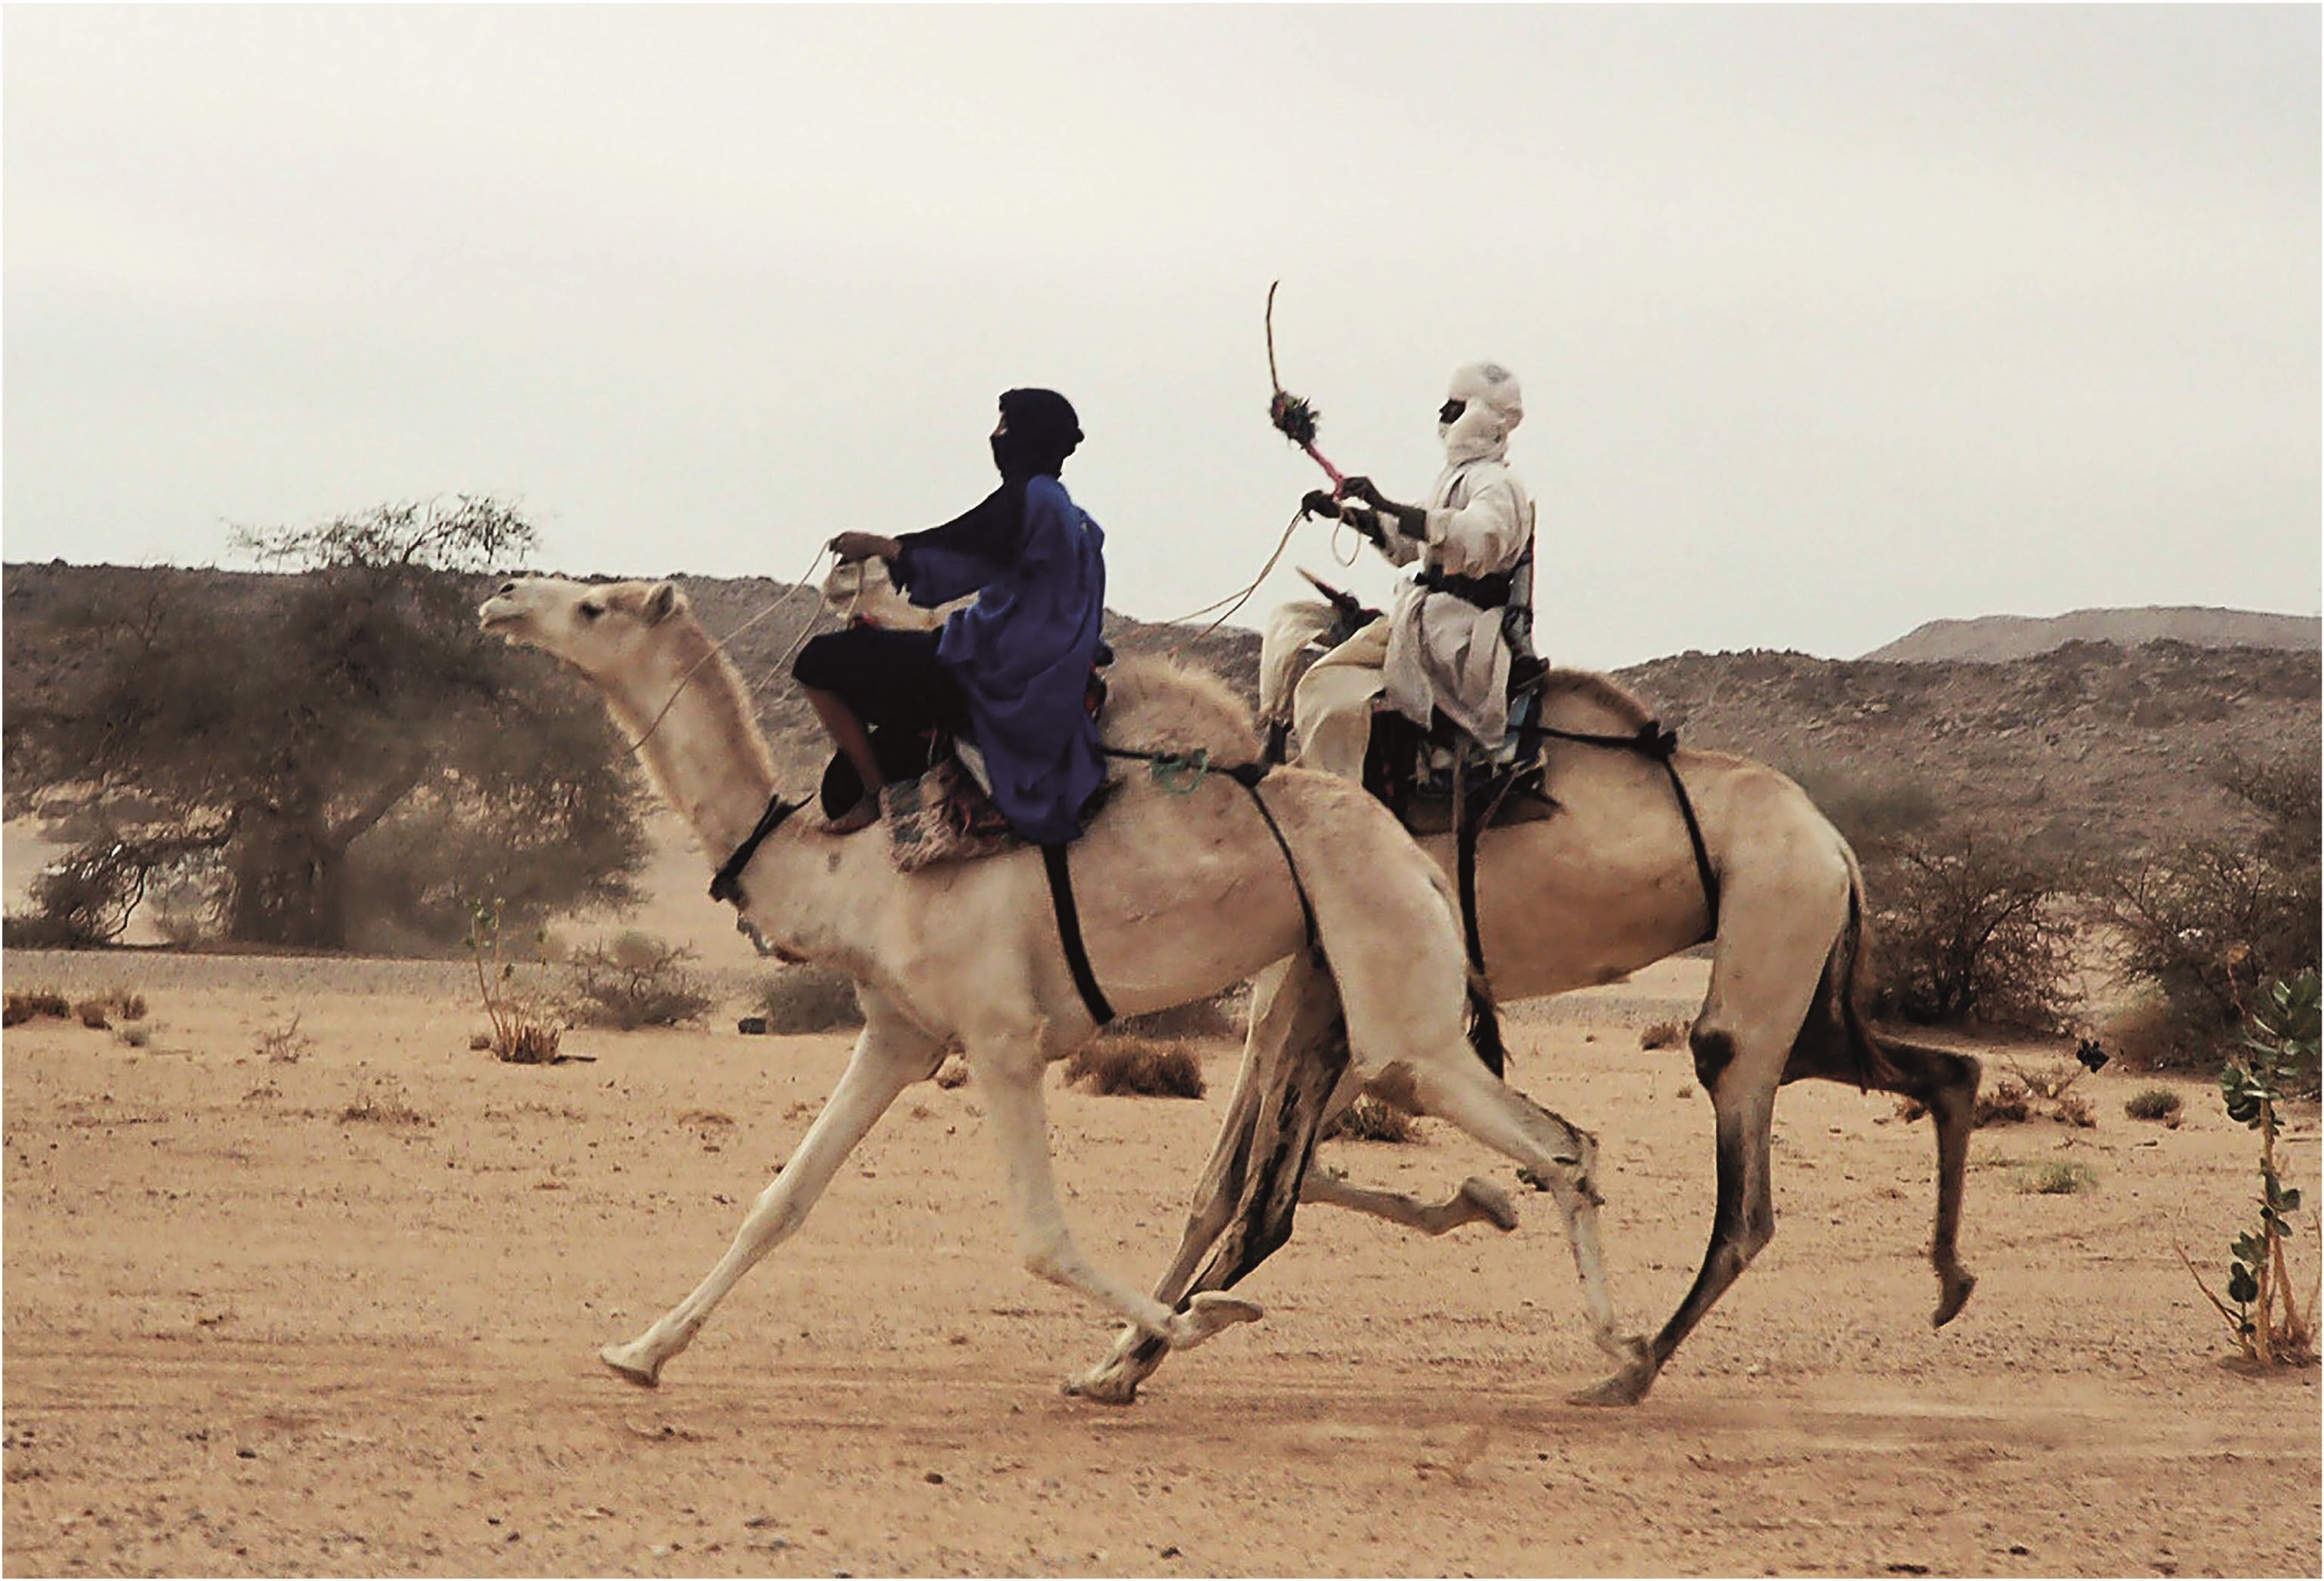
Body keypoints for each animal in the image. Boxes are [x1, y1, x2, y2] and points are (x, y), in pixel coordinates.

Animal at [471, 581, 1645, 1394]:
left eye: (593, 602)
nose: (502, 596)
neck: (843, 867)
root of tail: (1416, 856)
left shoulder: (999, 1033)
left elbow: (1039, 1236)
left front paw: (1186, 1330)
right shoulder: (900, 1032)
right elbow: (779, 1201)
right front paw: (639, 1350)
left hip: (1396, 1000)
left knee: (1554, 1141)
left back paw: (1622, 1351)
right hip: (1336, 982)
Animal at [1060, 600, 1980, 1404]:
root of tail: (1835, 845)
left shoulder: (1324, 996)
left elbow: (1263, 1202)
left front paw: (1125, 1363)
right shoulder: (1300, 1002)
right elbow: (1221, 1188)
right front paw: (1112, 1361)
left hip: (1768, 939)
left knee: (1742, 1193)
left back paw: (1630, 1369)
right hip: (1806, 982)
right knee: (1936, 1069)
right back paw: (1948, 1280)